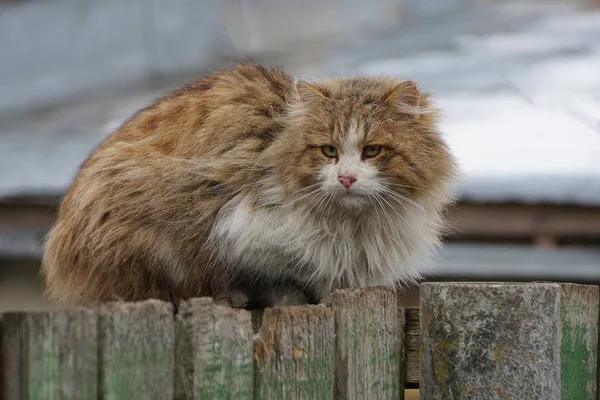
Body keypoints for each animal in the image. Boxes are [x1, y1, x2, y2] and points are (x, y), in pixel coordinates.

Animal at [42, 62, 460, 308]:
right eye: (329, 150)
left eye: (372, 150)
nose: (346, 177)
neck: (354, 227)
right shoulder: (236, 225)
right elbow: (274, 273)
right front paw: (288, 295)